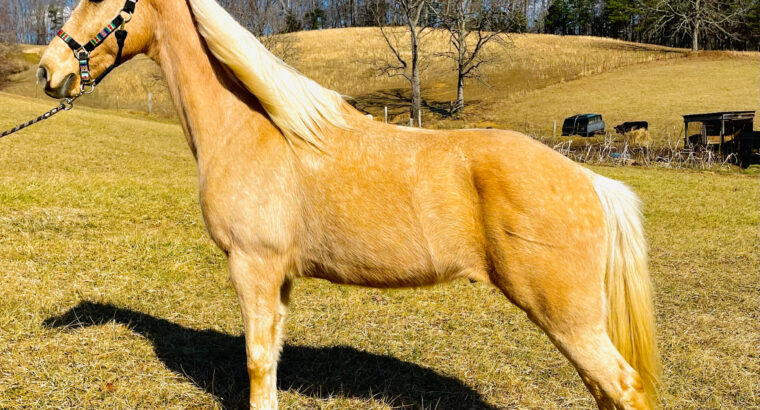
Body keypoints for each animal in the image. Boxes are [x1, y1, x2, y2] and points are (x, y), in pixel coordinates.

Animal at [38, 0, 660, 408]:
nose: (49, 70)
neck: (251, 127)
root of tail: (591, 181)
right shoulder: (278, 278)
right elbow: (272, 360)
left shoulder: (252, 267)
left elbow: (256, 364)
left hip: (569, 319)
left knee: (623, 388)